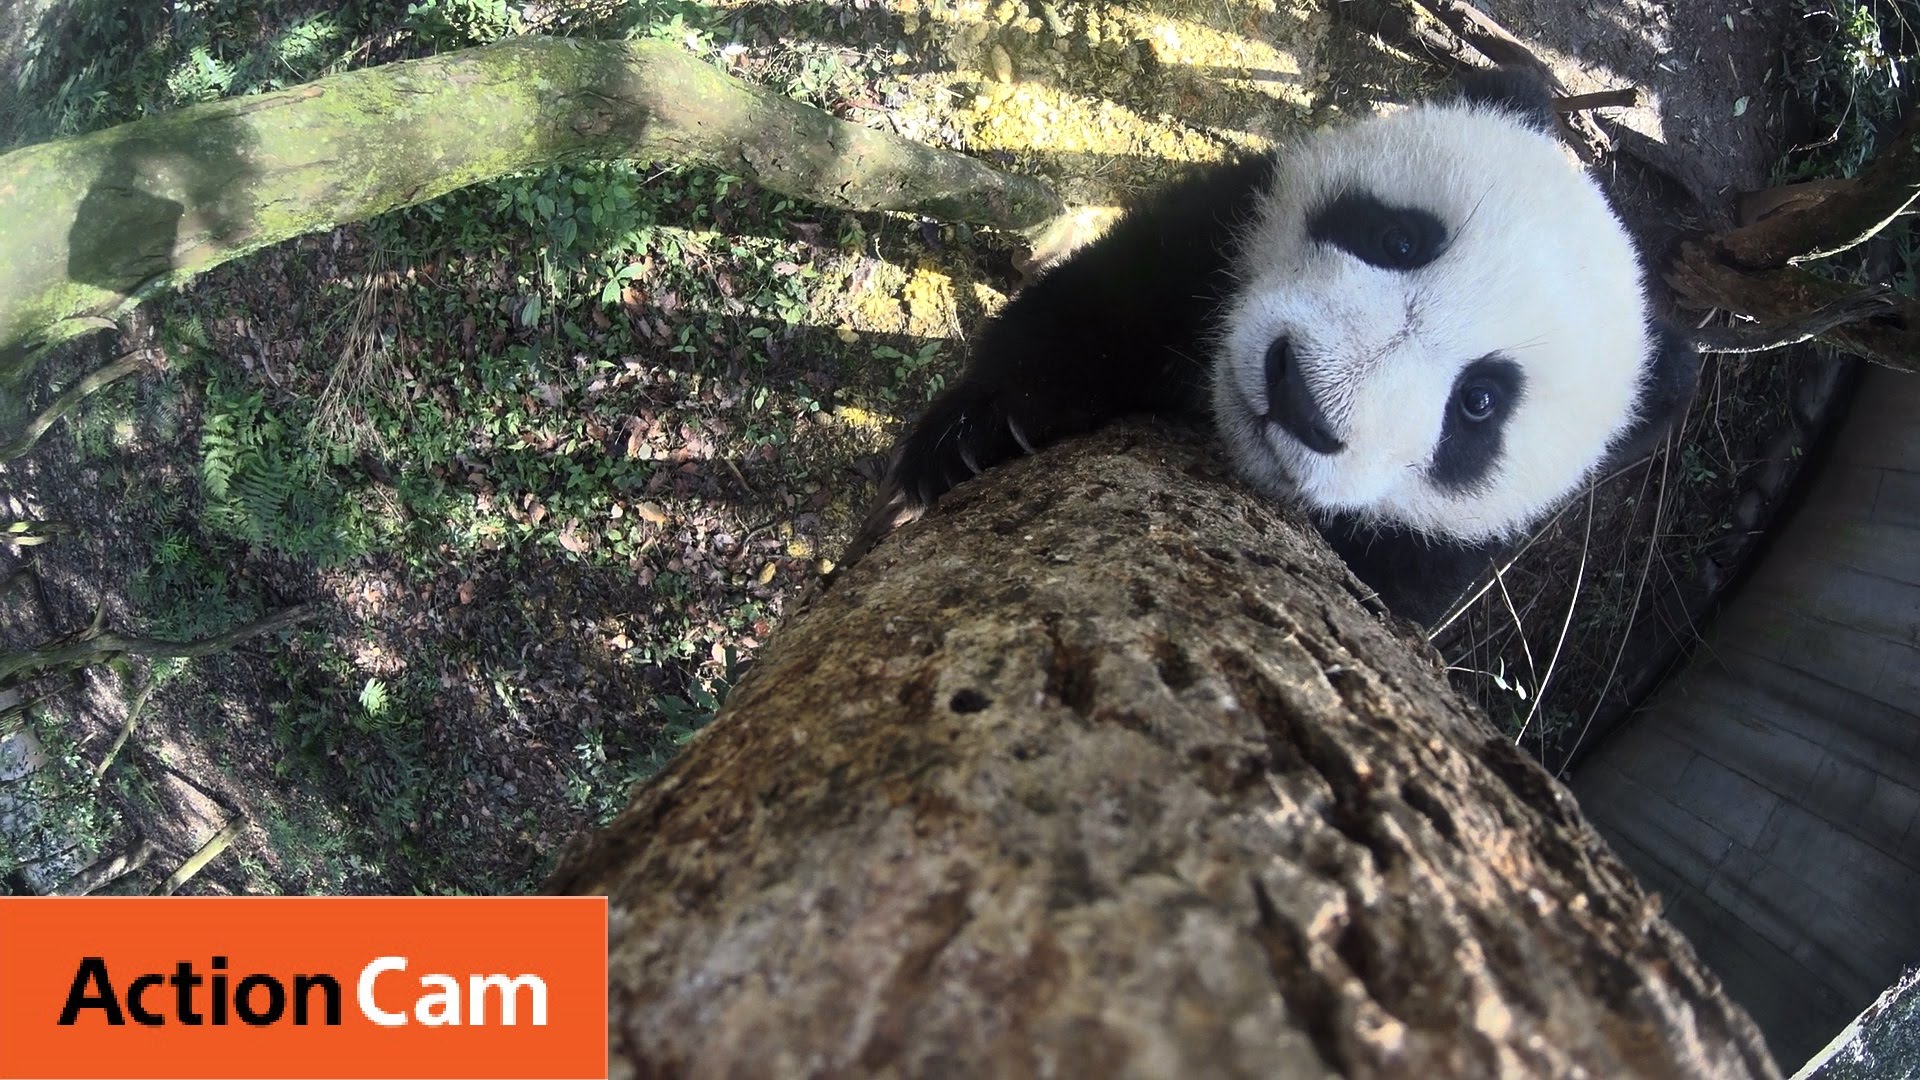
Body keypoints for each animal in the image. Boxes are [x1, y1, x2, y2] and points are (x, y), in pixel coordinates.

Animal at [877, 68, 1700, 626]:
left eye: (1480, 404)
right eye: (1400, 239)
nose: (1299, 397)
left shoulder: (1432, 556)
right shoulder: (1220, 226)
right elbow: (1101, 302)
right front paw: (973, 438)